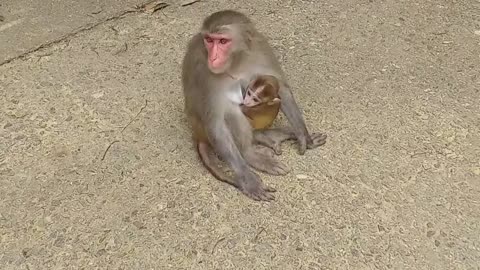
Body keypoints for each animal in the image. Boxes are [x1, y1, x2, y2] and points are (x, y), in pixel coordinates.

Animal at [182, 10, 328, 200]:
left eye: (222, 41)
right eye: (209, 40)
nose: (213, 57)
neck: (236, 62)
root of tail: (196, 134)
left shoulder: (261, 49)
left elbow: (281, 88)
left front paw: (304, 137)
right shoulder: (201, 71)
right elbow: (215, 123)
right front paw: (249, 180)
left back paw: (269, 136)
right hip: (203, 129)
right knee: (230, 111)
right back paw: (250, 154)